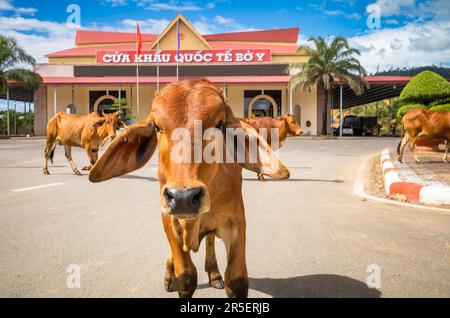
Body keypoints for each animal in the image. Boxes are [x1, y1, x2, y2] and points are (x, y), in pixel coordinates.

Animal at [89, 79, 290, 298]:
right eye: (157, 126)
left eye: (219, 124)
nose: (183, 197)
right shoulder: (169, 218)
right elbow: (185, 276)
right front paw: (173, 276)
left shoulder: (236, 221)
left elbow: (237, 280)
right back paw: (170, 276)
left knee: (210, 241)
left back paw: (214, 274)